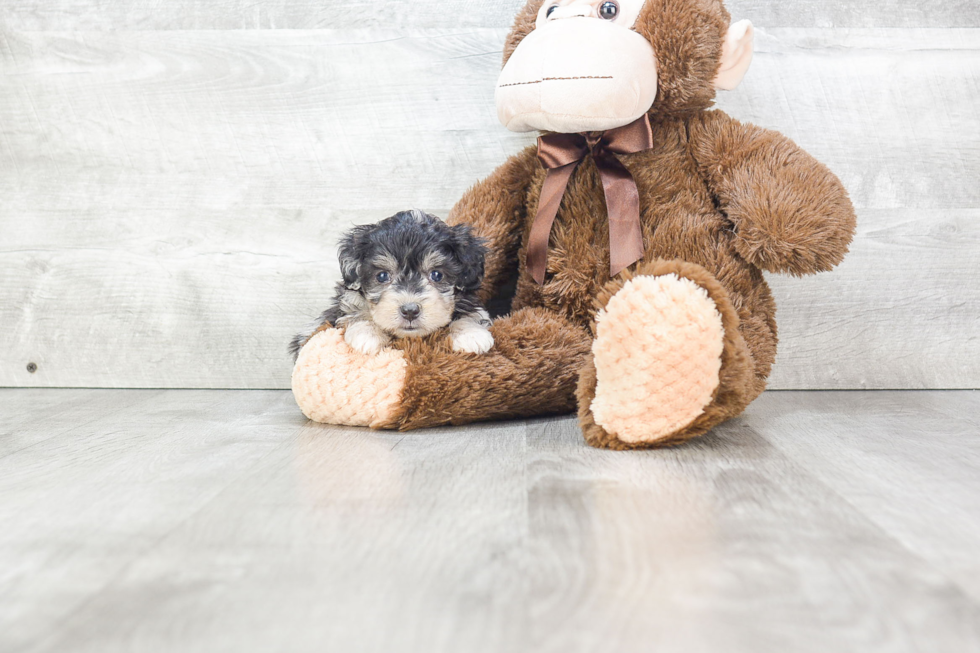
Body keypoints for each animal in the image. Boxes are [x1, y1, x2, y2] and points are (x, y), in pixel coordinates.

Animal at [288, 209, 494, 360]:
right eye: (382, 276)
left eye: (436, 275)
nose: (410, 310)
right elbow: (357, 312)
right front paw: (367, 334)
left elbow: (470, 315)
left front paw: (471, 335)